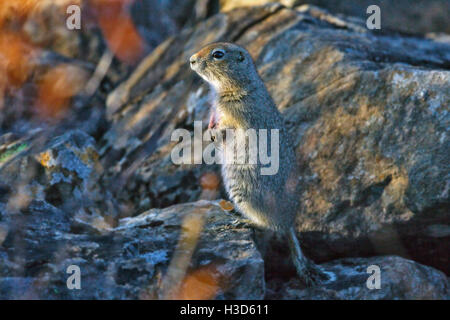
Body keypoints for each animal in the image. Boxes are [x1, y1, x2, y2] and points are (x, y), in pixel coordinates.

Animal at [188, 42, 328, 284]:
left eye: (218, 54)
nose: (191, 59)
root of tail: (288, 222)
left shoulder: (238, 112)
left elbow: (227, 124)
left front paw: (215, 132)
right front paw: (209, 129)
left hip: (245, 191)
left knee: (269, 226)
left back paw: (244, 222)